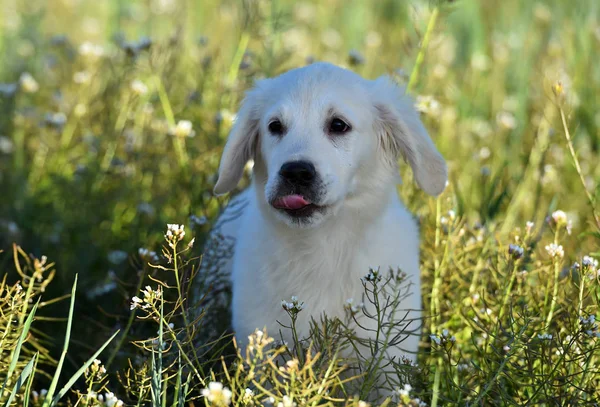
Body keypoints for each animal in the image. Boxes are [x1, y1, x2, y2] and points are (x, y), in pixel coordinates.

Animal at [206, 62, 446, 378]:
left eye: (339, 125)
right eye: (275, 126)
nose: (295, 172)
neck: (322, 245)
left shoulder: (385, 366)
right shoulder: (261, 347)